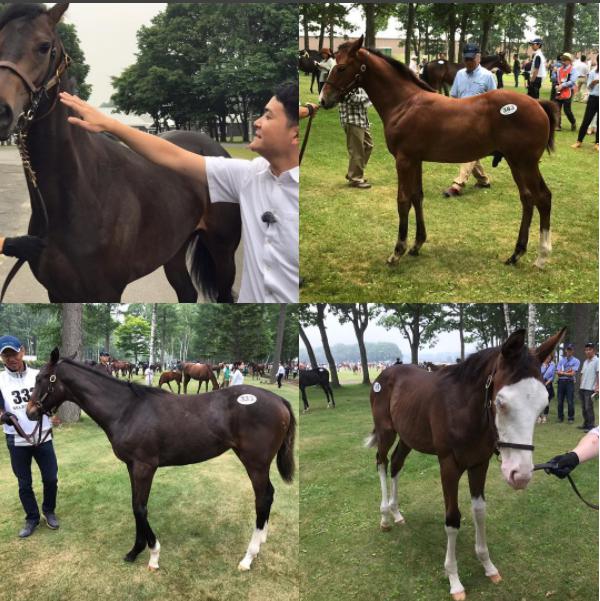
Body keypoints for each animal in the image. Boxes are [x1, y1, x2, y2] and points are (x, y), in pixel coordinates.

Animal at [368, 328, 564, 600]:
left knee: (396, 464)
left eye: (543, 404)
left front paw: (488, 565)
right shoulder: (448, 466)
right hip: (386, 432)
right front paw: (454, 579)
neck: (462, 410)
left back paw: (397, 514)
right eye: (500, 401)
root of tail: (385, 373)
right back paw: (385, 516)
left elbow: (479, 512)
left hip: (408, 436)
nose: (521, 475)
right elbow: (453, 518)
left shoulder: (479, 464)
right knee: (382, 463)